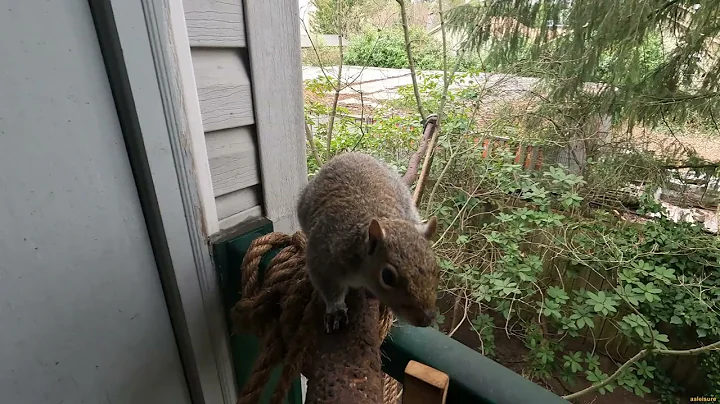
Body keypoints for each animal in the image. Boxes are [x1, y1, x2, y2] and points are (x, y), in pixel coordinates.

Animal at [297, 151, 440, 333]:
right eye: (387, 276)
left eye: (437, 271)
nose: (425, 320)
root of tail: (351, 154)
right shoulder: (325, 256)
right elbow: (329, 288)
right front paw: (335, 310)